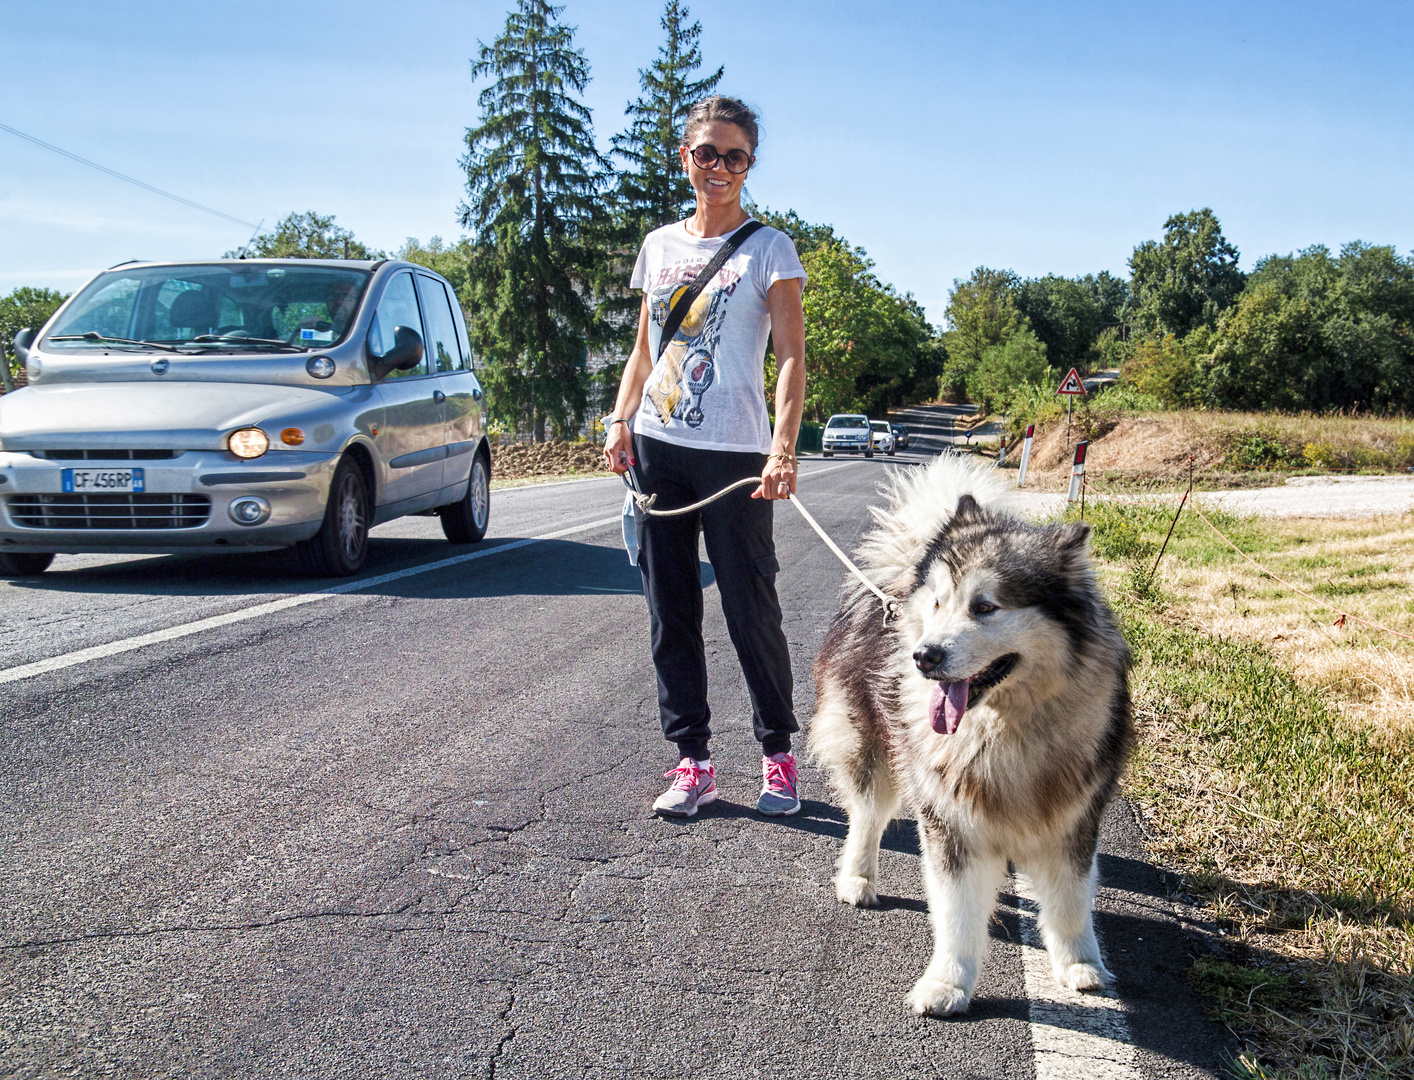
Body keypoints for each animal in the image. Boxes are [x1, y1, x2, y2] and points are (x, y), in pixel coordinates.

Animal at [814, 452, 1131, 1012]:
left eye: (985, 606)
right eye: (940, 603)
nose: (924, 657)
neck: (1005, 727)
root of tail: (896, 577)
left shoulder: (1074, 821)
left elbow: (1070, 900)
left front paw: (1080, 963)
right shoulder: (950, 822)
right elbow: (957, 913)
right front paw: (948, 983)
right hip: (873, 749)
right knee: (868, 816)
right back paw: (858, 877)